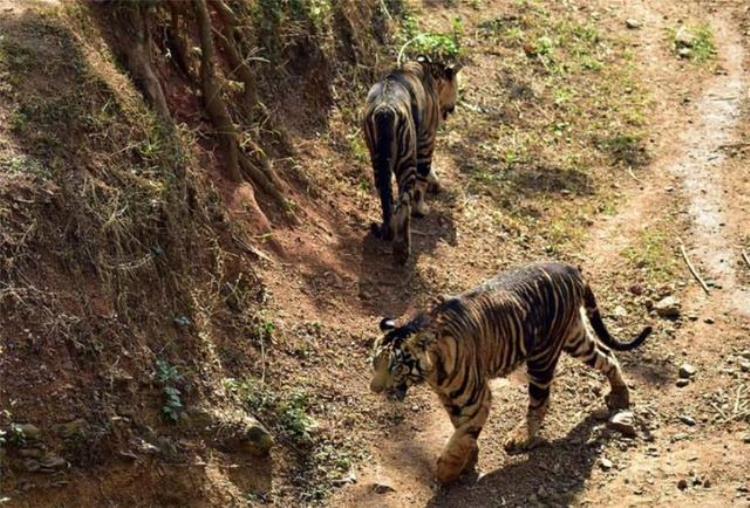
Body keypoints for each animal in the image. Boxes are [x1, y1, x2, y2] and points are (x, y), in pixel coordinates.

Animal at [364, 55, 464, 264]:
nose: (453, 109)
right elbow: (422, 178)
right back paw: (402, 250)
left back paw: (388, 230)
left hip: (377, 158)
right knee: (404, 202)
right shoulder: (427, 139)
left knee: (385, 195)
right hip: (406, 160)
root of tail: (385, 108)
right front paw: (422, 208)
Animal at [370, 262, 652, 484]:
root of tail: (570, 268)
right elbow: (461, 429)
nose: (375, 388)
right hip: (576, 339)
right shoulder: (450, 398)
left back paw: (522, 437)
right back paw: (620, 395)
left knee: (540, 401)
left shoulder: (476, 398)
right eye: (375, 363)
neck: (432, 373)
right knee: (606, 355)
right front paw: (469, 459)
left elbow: (463, 435)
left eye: (395, 366)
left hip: (543, 358)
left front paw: (447, 473)